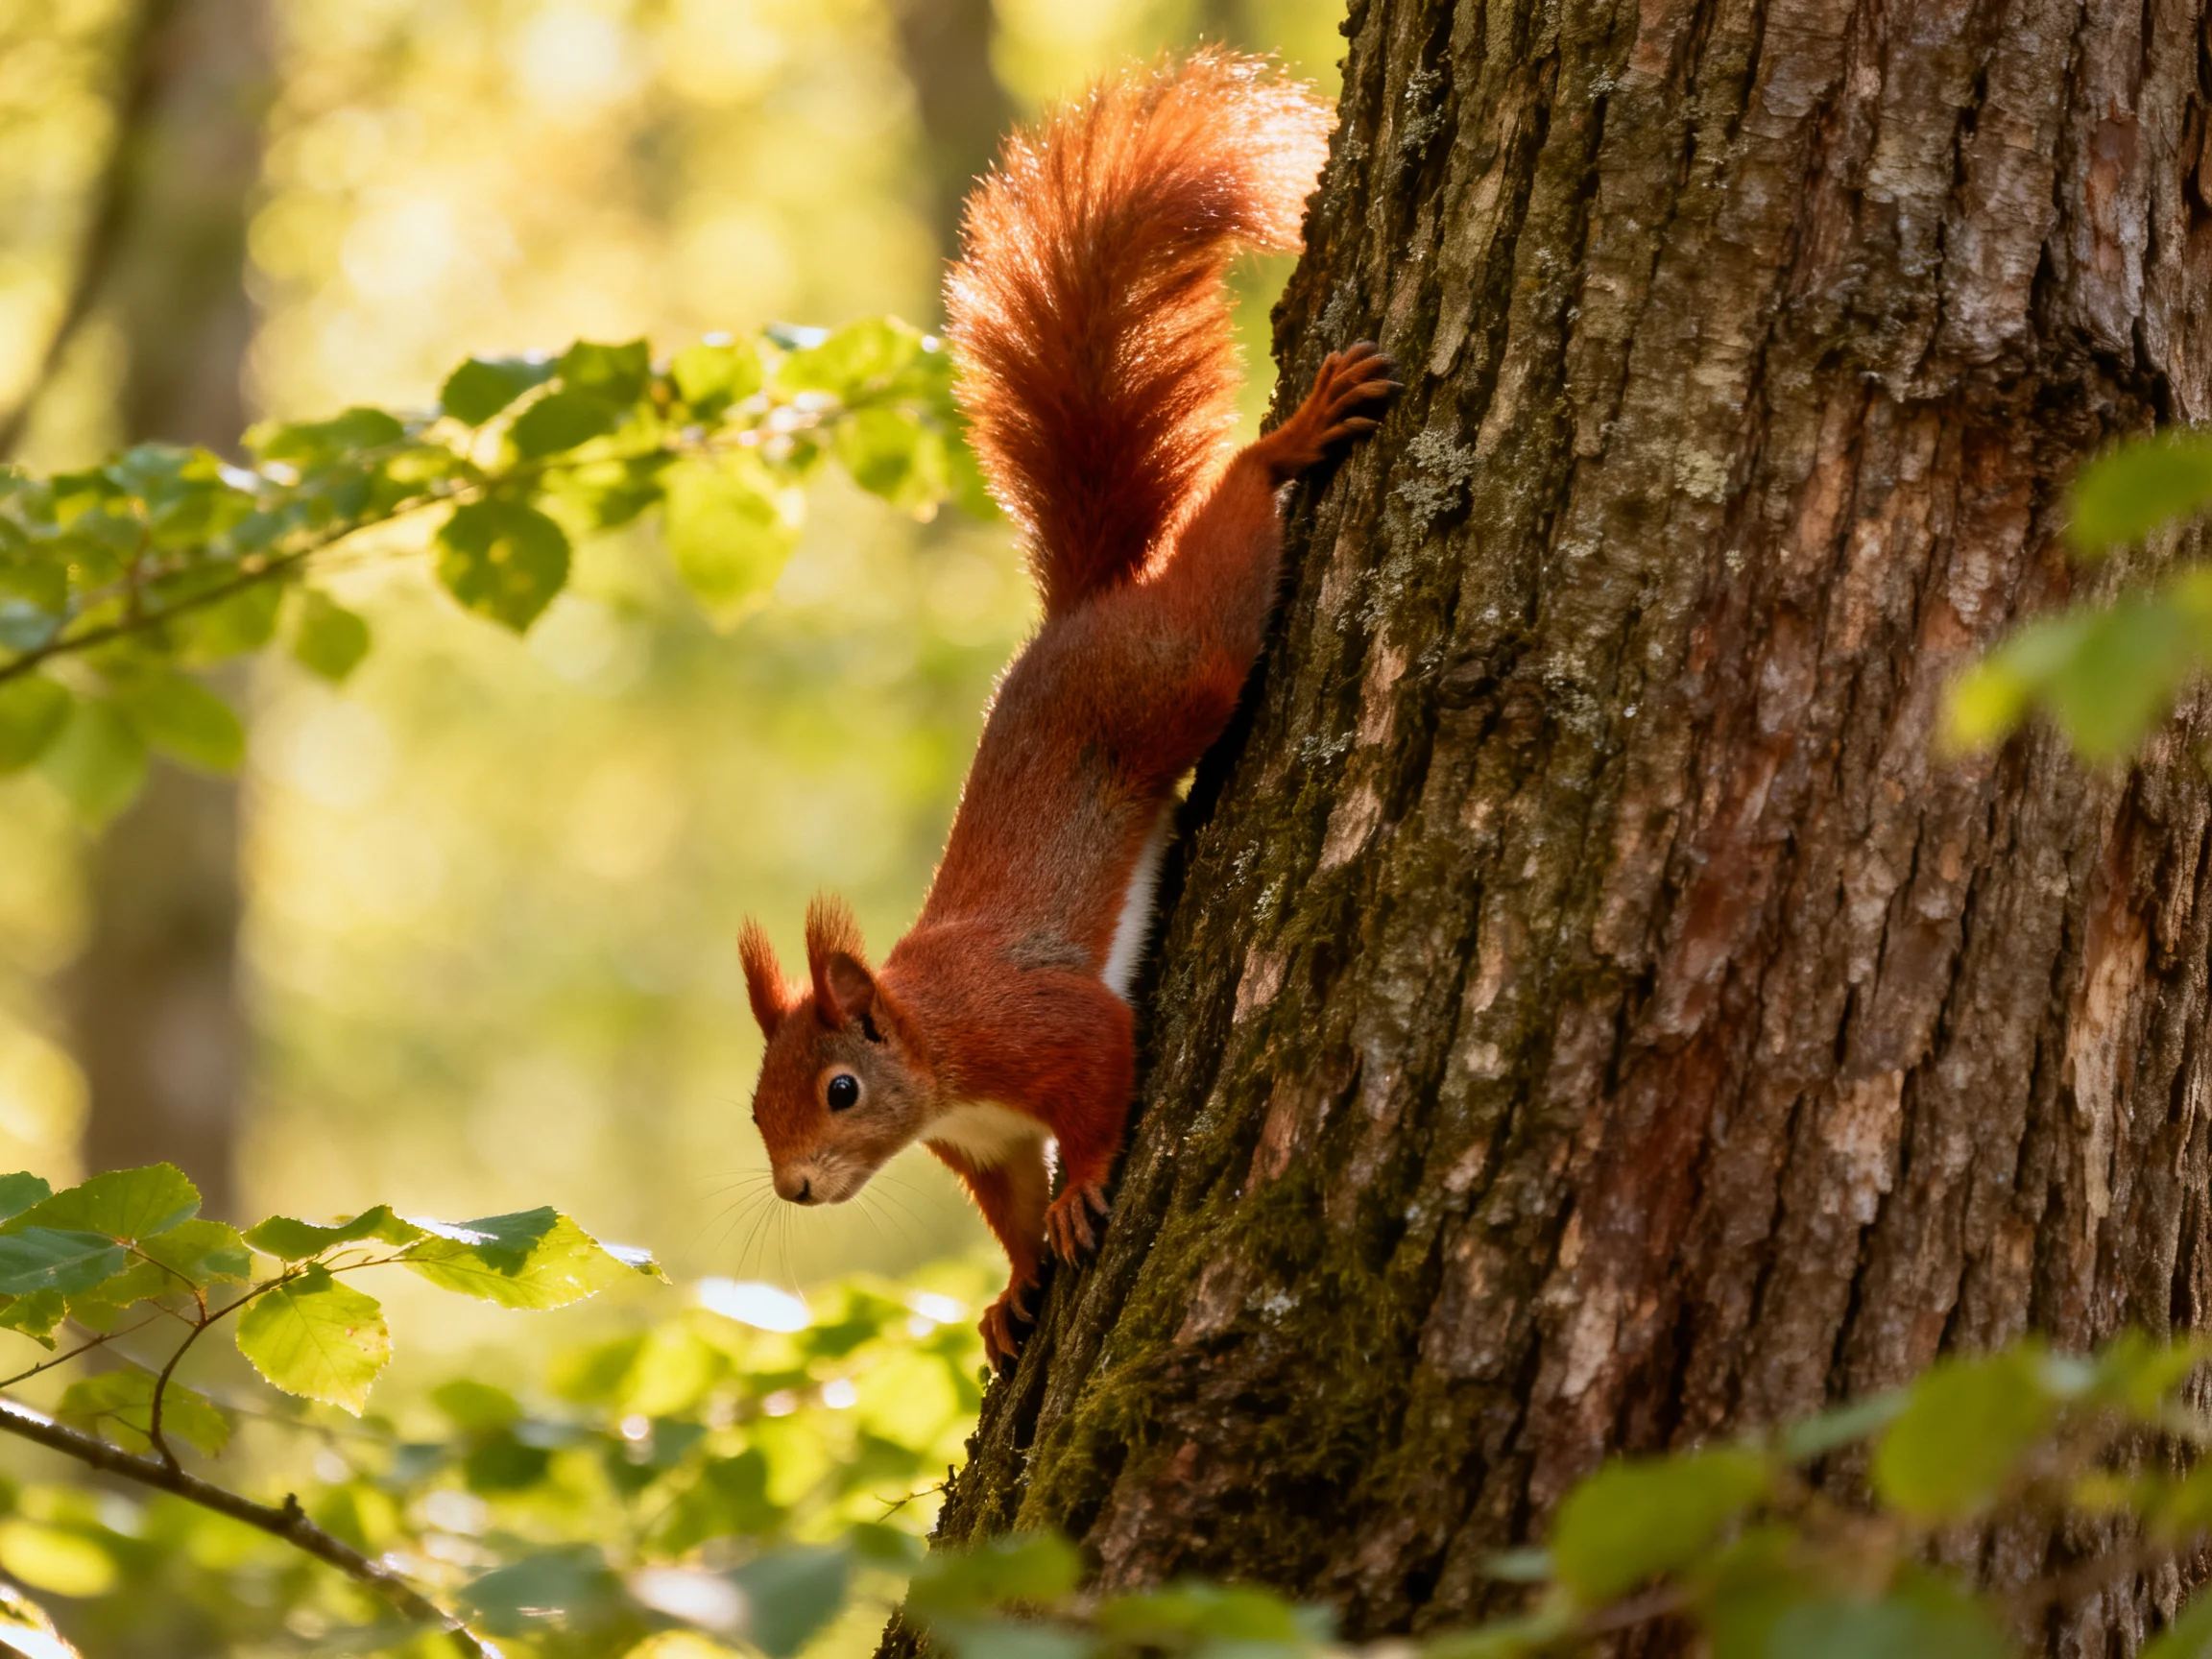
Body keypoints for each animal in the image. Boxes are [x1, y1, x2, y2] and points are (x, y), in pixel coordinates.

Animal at [737, 51, 1396, 1370]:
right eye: (754, 1107)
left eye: (838, 1091)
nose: (795, 1188)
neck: (934, 1050)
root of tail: (1078, 613)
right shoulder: (982, 1141)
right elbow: (1006, 1208)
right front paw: (1013, 1288)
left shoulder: (1035, 1023)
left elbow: (1099, 1070)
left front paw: (1086, 1188)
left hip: (1176, 672)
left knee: (1224, 564)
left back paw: (1286, 445)